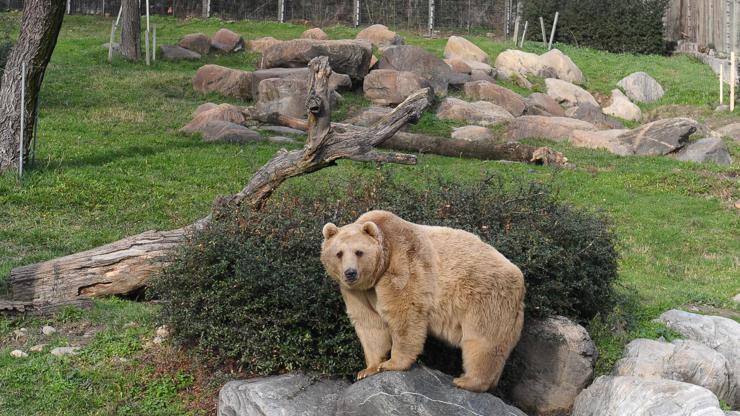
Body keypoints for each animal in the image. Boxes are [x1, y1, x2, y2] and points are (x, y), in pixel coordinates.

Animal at [320, 210, 528, 392]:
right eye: (339, 253)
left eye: (359, 252)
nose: (350, 273)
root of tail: (519, 277)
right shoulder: (357, 291)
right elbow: (369, 323)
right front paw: (367, 369)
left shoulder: (404, 264)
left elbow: (405, 313)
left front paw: (391, 364)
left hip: (487, 297)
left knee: (482, 340)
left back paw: (467, 381)